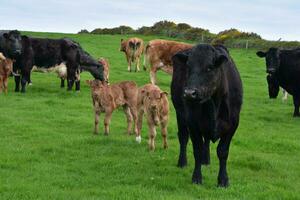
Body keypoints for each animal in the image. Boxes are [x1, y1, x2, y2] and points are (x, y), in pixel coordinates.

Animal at [171, 44, 244, 188]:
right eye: (188, 67)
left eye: (209, 67)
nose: (189, 93)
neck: (214, 104)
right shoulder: (193, 123)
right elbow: (197, 150)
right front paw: (197, 177)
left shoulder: (233, 124)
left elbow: (223, 151)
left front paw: (223, 180)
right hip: (180, 113)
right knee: (183, 137)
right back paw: (182, 162)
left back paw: (206, 160)